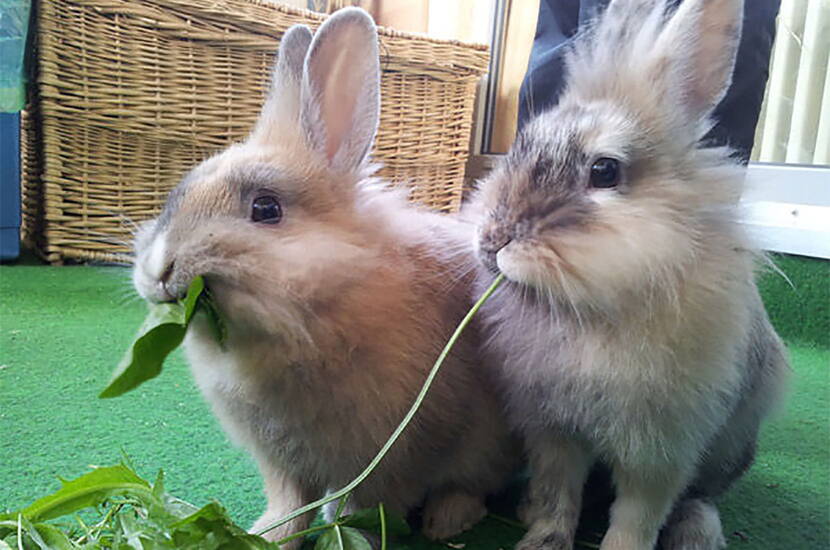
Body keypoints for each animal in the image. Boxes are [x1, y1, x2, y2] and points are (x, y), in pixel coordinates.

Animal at [130, 8, 512, 548]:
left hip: (487, 443)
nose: (159, 269)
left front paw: (344, 532)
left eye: (266, 209)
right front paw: (268, 536)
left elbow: (363, 507)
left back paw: (447, 521)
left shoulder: (391, 456)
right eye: (176, 196)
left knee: (474, 482)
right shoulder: (281, 463)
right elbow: (290, 506)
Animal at [468, 1, 792, 550]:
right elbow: (559, 492)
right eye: (518, 148)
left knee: (700, 497)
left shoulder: (660, 451)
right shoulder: (554, 431)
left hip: (728, 448)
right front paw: (543, 538)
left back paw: (697, 533)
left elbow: (638, 514)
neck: (587, 312)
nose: (493, 239)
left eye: (604, 170)